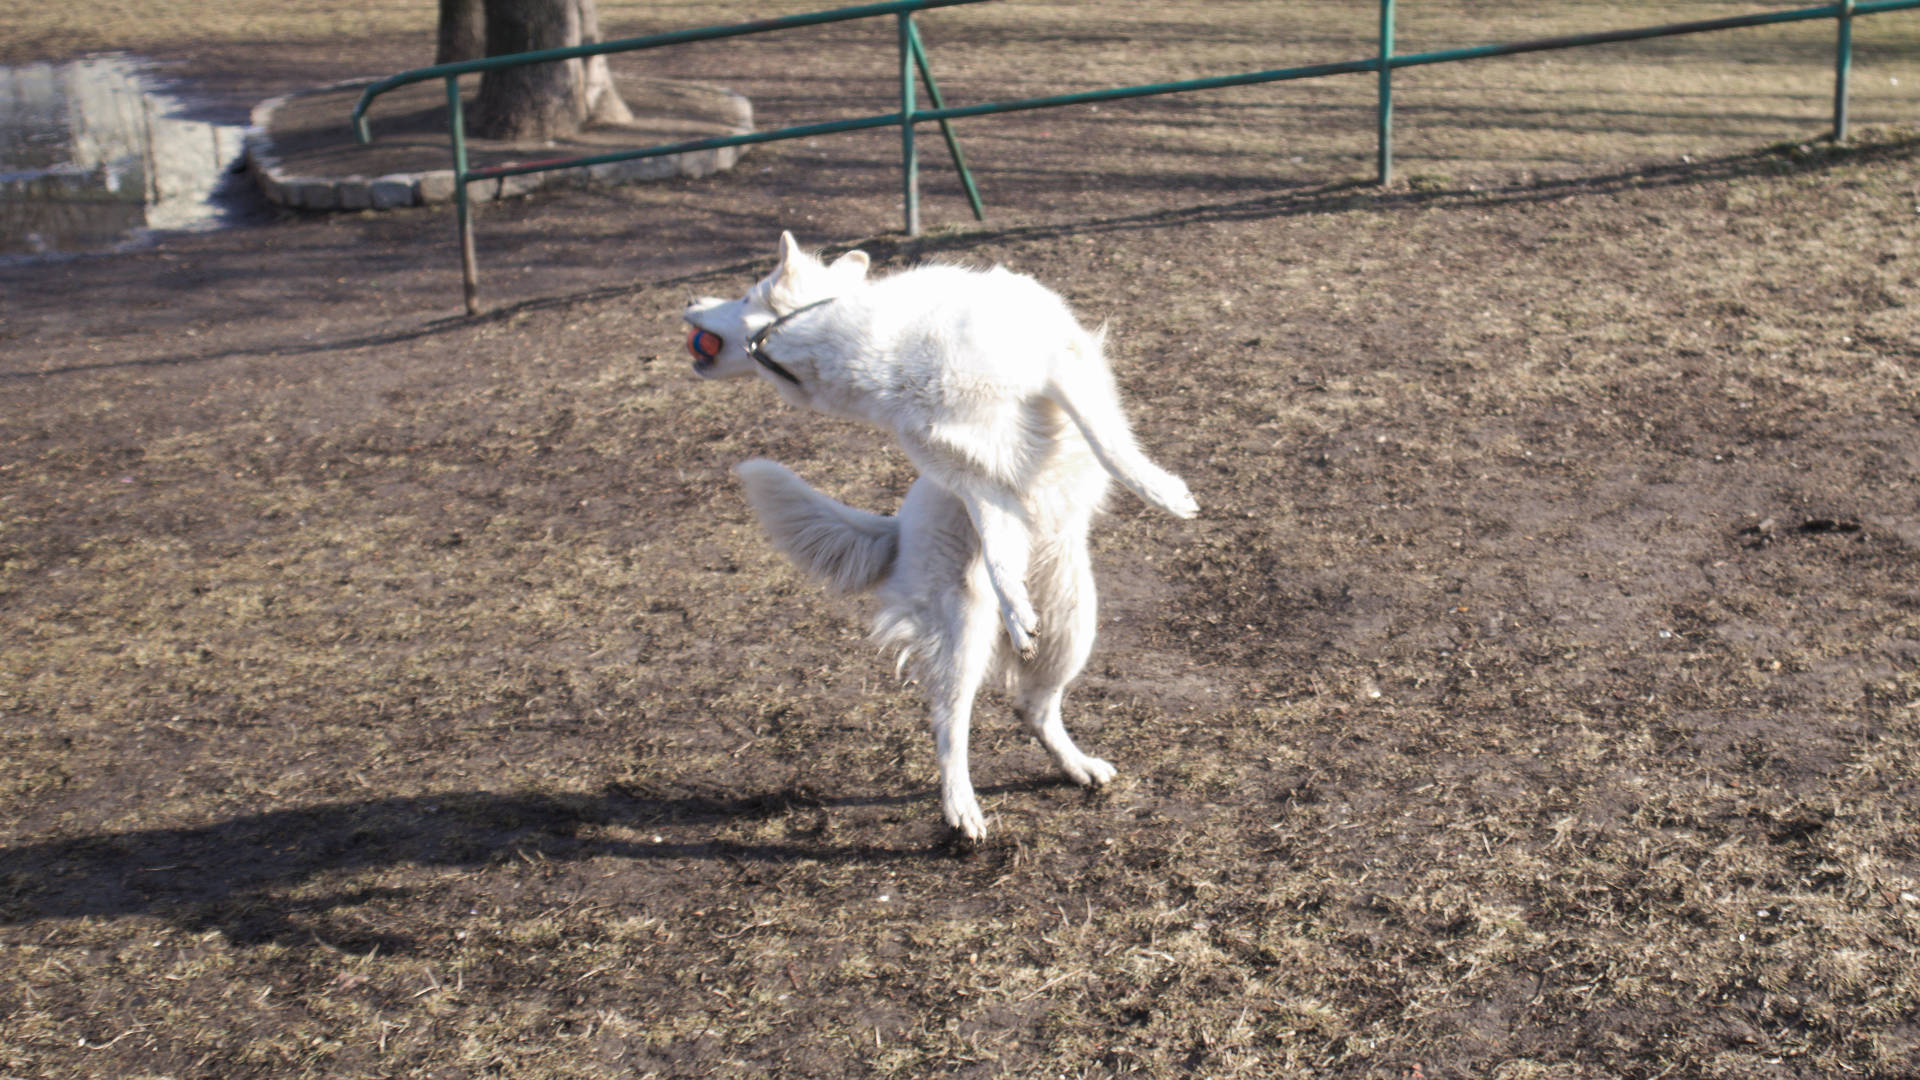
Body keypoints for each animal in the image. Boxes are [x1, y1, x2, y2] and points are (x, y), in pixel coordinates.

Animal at [683, 232, 1196, 840]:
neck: (865, 345)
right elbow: (999, 555)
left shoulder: (1054, 369)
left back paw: (1075, 766)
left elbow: (1107, 443)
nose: (689, 302)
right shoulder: (973, 478)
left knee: (1032, 708)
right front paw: (1014, 605)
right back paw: (962, 809)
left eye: (742, 296)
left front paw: (1162, 492)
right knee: (953, 725)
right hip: (964, 634)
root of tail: (897, 528)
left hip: (1074, 626)